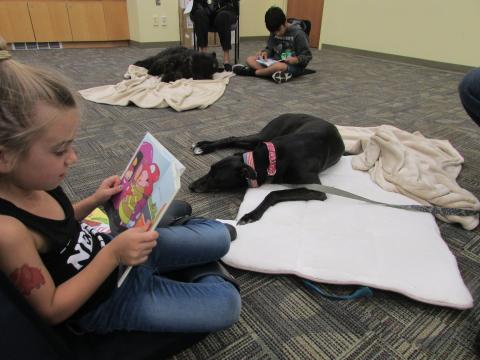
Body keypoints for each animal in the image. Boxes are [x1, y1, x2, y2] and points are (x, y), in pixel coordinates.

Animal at [188, 113, 344, 225]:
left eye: (216, 178)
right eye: (210, 169)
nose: (190, 186)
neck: (271, 160)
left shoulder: (317, 190)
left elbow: (273, 194)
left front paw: (251, 215)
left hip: (262, 139)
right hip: (263, 137)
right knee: (233, 138)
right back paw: (203, 146)